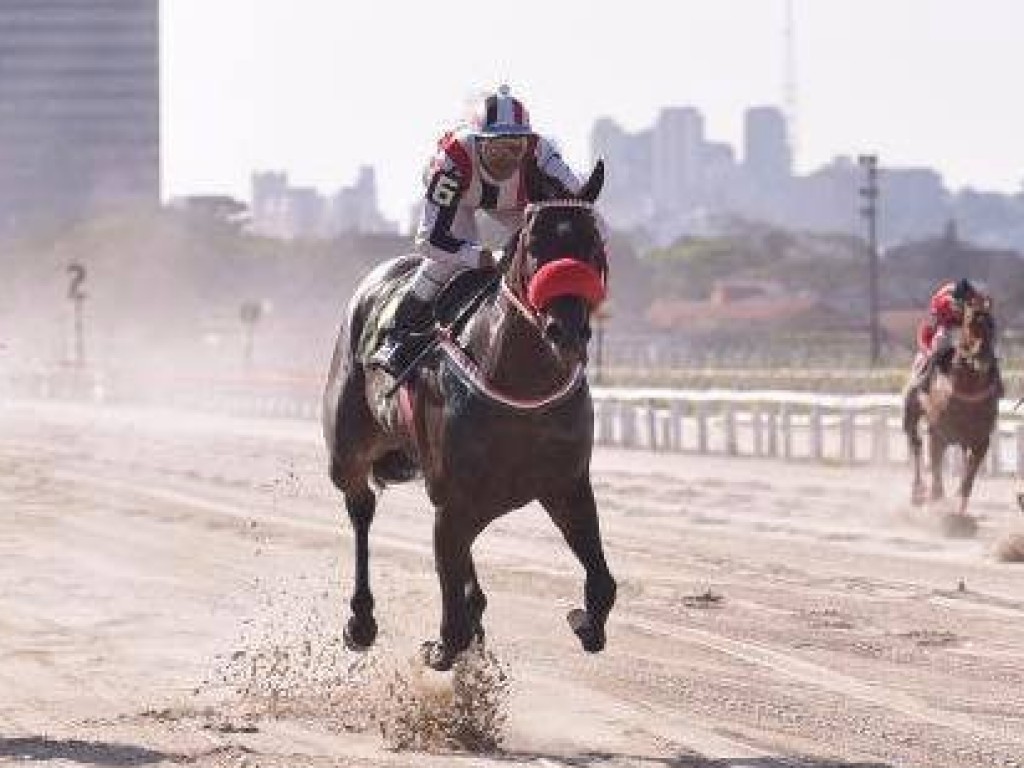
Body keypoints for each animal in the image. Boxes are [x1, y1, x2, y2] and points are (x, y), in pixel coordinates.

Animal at [319, 165, 610, 671]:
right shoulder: (453, 502)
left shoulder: (567, 487)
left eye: (592, 244)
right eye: (535, 244)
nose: (566, 330)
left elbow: (602, 585)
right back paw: (361, 620)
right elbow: (451, 625)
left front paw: (583, 620)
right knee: (360, 511)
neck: (521, 385)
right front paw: (441, 646)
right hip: (348, 452)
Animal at [905, 296, 999, 520]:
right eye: (970, 324)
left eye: (992, 325)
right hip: (913, 410)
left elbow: (968, 477)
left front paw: (960, 505)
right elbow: (936, 472)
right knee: (916, 444)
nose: (983, 357)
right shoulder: (938, 433)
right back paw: (918, 493)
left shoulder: (981, 439)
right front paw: (935, 502)